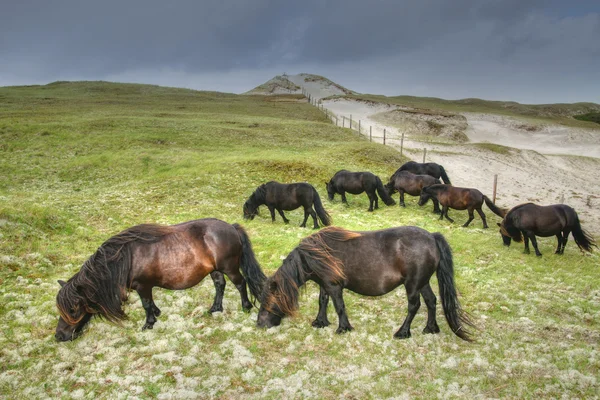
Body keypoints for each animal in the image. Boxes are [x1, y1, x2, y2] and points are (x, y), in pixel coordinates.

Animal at [54, 219, 268, 340]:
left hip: (229, 268)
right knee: (220, 285)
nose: (59, 336)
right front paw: (157, 314)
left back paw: (246, 307)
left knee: (241, 284)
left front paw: (149, 323)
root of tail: (231, 227)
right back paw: (215, 308)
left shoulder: (143, 286)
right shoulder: (145, 286)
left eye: (73, 309)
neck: (126, 258)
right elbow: (150, 303)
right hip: (214, 270)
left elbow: (146, 304)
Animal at [255, 225, 476, 340]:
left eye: (268, 302)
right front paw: (320, 322)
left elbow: (339, 306)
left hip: (413, 285)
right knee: (431, 301)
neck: (314, 254)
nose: (259, 325)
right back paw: (431, 328)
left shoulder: (334, 286)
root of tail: (431, 236)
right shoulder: (324, 284)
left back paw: (403, 332)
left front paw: (343, 328)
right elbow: (322, 302)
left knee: (415, 306)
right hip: (422, 283)